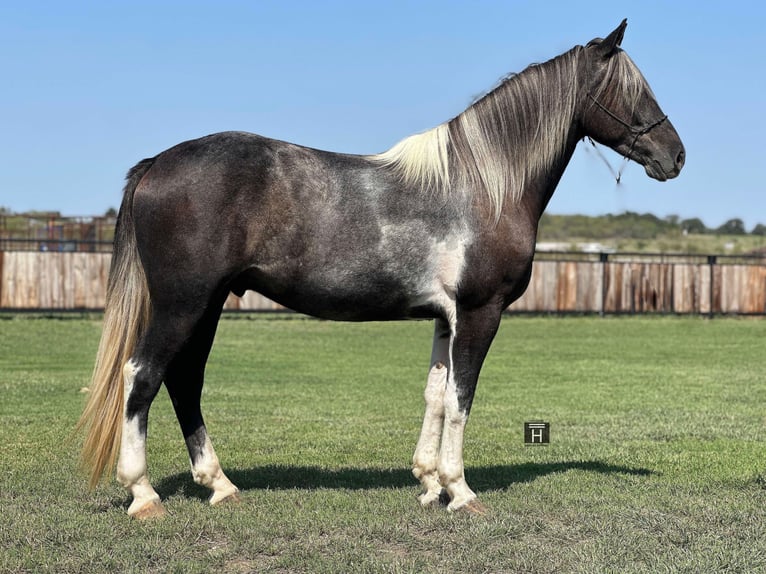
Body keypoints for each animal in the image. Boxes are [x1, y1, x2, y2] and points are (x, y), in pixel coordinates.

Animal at [78, 19, 684, 518]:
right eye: (632, 91)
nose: (675, 156)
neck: (482, 186)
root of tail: (158, 163)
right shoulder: (480, 312)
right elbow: (462, 398)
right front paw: (460, 490)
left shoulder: (445, 317)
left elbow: (436, 395)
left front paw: (429, 483)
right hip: (183, 304)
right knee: (142, 374)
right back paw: (143, 494)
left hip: (206, 307)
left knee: (183, 380)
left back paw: (220, 485)